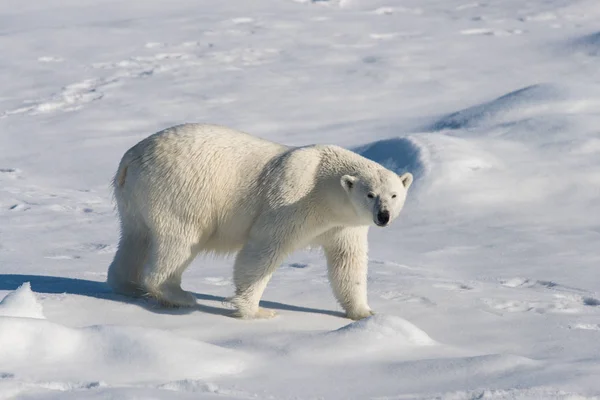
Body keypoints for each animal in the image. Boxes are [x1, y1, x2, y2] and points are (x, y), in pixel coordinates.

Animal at [106, 123, 412, 320]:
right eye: (370, 194)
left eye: (394, 194)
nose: (383, 216)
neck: (325, 186)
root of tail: (130, 161)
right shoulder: (292, 200)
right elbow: (263, 250)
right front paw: (257, 310)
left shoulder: (344, 225)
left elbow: (348, 263)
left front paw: (365, 313)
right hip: (180, 192)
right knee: (179, 241)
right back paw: (179, 295)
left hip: (134, 200)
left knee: (135, 238)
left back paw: (126, 286)